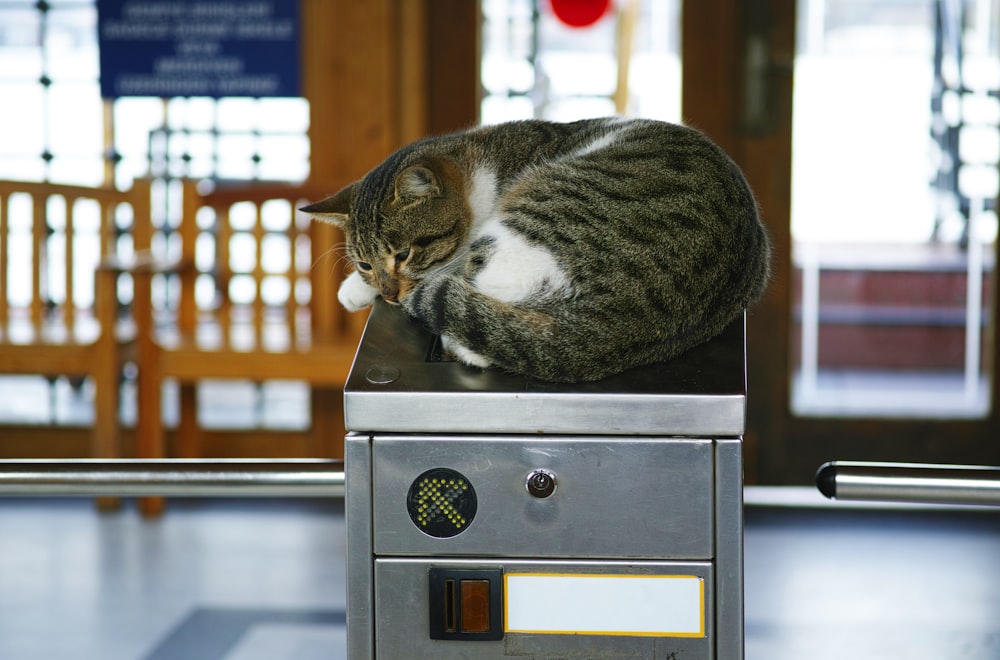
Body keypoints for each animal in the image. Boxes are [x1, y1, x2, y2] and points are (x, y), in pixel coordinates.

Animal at [300, 118, 768, 382]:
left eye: (404, 254)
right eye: (365, 262)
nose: (390, 293)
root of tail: (633, 314)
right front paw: (357, 288)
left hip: (522, 232)